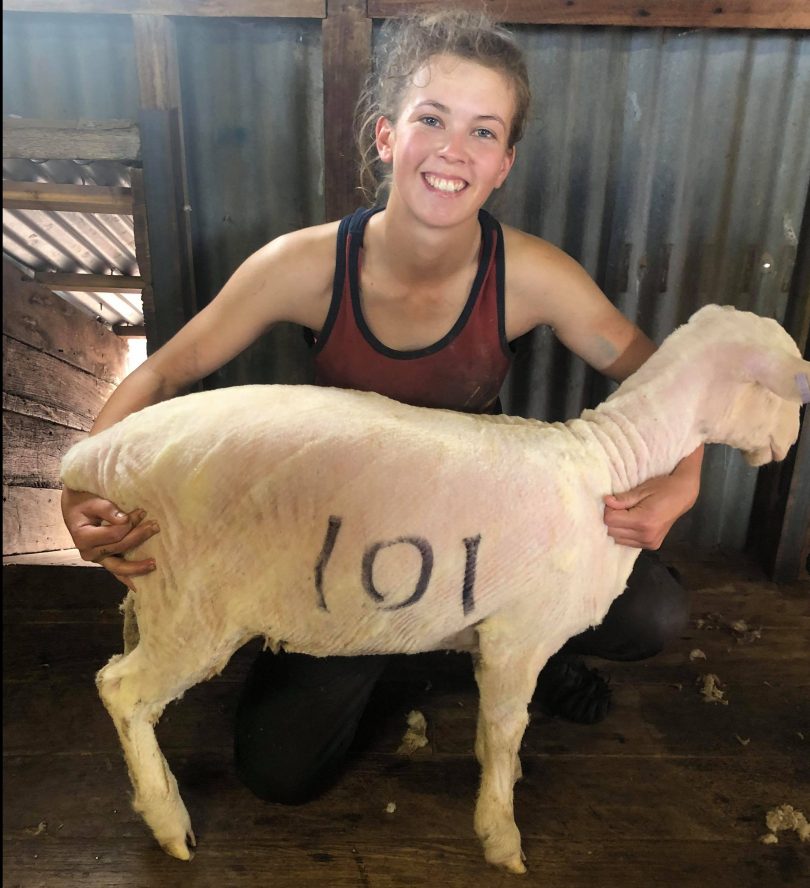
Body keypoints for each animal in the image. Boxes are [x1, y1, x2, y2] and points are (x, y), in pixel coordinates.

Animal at [61, 306, 808, 876]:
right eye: (785, 389)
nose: (787, 444)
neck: (611, 463)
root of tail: (91, 457)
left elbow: (492, 734)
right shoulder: (518, 635)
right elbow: (505, 731)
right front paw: (502, 838)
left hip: (155, 596)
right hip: (195, 604)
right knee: (121, 690)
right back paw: (170, 824)